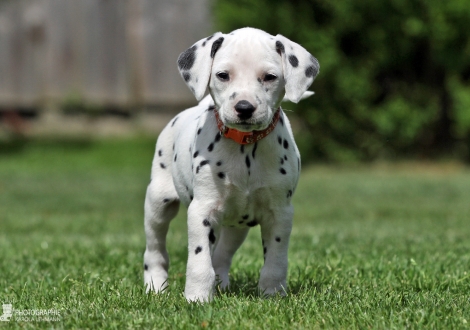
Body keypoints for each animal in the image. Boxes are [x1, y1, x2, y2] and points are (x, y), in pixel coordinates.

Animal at [143, 27, 320, 302]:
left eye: (270, 77)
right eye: (223, 75)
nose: (244, 108)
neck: (245, 147)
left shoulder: (280, 213)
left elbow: (276, 261)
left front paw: (273, 294)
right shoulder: (202, 211)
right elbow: (199, 261)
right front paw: (196, 298)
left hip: (238, 225)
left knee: (222, 254)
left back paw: (222, 284)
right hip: (158, 204)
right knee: (155, 249)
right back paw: (155, 284)